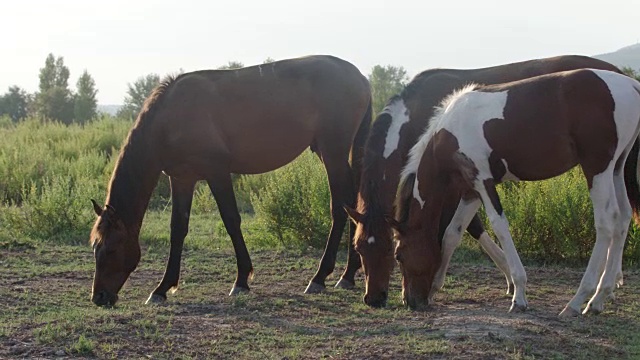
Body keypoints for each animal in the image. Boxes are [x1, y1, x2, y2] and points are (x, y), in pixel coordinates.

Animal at [89, 54, 370, 306]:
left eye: (112, 248)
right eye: (95, 248)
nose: (99, 297)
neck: (170, 118)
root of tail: (360, 77)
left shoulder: (218, 173)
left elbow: (231, 221)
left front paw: (241, 281)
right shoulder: (182, 179)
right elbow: (178, 229)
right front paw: (162, 288)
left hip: (332, 153)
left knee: (339, 207)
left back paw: (320, 277)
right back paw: (348, 274)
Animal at [342, 54, 624, 308]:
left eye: (391, 251)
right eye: (359, 248)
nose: (373, 299)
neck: (419, 113)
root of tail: (620, 74)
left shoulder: (459, 184)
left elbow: (469, 227)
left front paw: (513, 281)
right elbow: (460, 229)